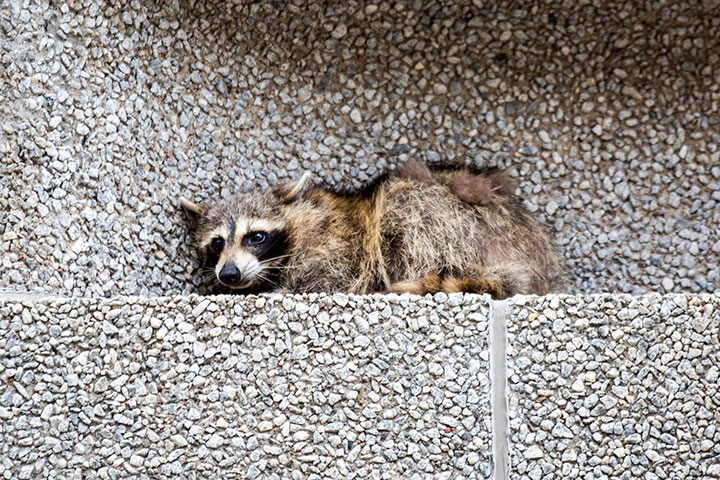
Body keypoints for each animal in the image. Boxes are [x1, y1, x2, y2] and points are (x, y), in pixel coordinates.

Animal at [180, 161, 564, 296]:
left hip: (449, 221)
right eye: (217, 243)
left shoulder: (335, 251)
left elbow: (326, 281)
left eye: (256, 237)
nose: (229, 274)